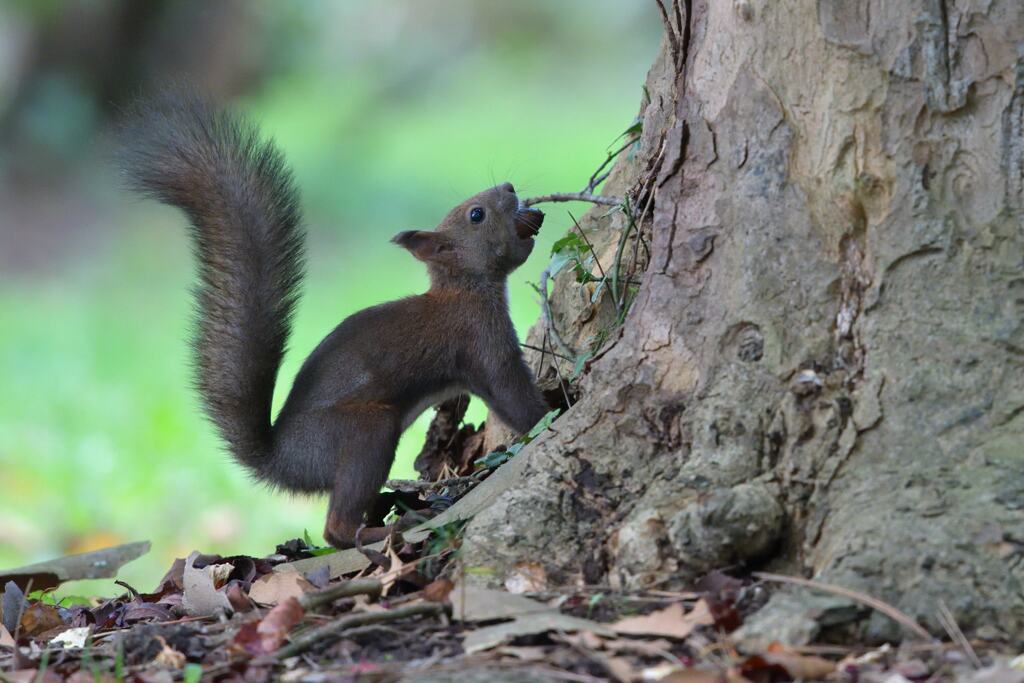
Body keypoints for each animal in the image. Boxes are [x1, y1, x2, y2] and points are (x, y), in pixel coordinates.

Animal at [121, 92, 552, 548]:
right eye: (476, 215)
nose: (510, 188)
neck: (462, 290)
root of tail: (282, 463)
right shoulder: (480, 341)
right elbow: (512, 397)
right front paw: (550, 413)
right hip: (364, 432)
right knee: (336, 529)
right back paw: (389, 528)